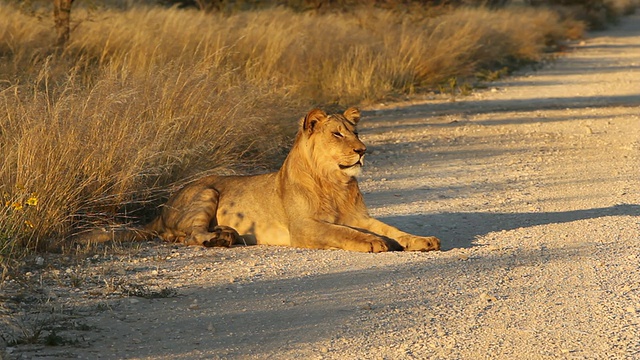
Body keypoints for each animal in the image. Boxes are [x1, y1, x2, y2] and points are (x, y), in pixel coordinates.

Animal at [139, 107, 440, 253]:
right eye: (338, 134)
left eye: (356, 132)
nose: (363, 150)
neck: (335, 182)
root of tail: (162, 209)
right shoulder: (304, 226)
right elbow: (342, 232)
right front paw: (374, 241)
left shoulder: (359, 217)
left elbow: (393, 229)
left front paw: (420, 240)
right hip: (207, 191)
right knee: (188, 235)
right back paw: (218, 240)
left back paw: (227, 234)